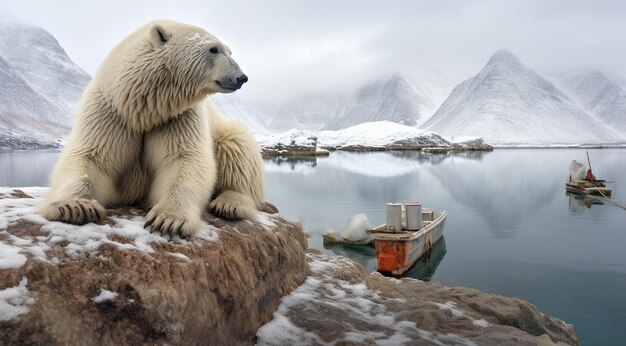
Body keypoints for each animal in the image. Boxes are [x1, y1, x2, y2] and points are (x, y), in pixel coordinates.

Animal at [37, 19, 266, 238]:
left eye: (229, 51)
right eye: (214, 49)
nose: (241, 77)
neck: (144, 110)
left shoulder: (178, 117)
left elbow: (183, 159)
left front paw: (168, 220)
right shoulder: (110, 113)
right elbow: (92, 157)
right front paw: (75, 207)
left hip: (222, 129)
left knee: (238, 147)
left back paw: (229, 204)